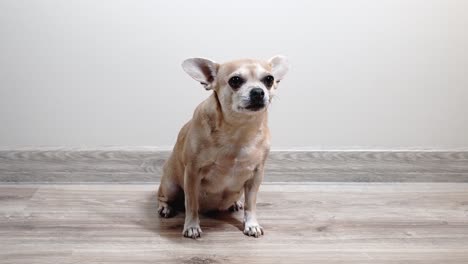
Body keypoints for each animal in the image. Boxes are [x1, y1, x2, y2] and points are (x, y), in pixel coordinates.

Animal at [157, 55, 288, 239]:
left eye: (269, 79)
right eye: (235, 80)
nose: (258, 91)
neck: (239, 129)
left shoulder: (256, 175)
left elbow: (251, 204)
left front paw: (251, 224)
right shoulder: (192, 173)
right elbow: (191, 203)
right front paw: (192, 226)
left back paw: (235, 203)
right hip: (171, 186)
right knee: (164, 197)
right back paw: (165, 208)